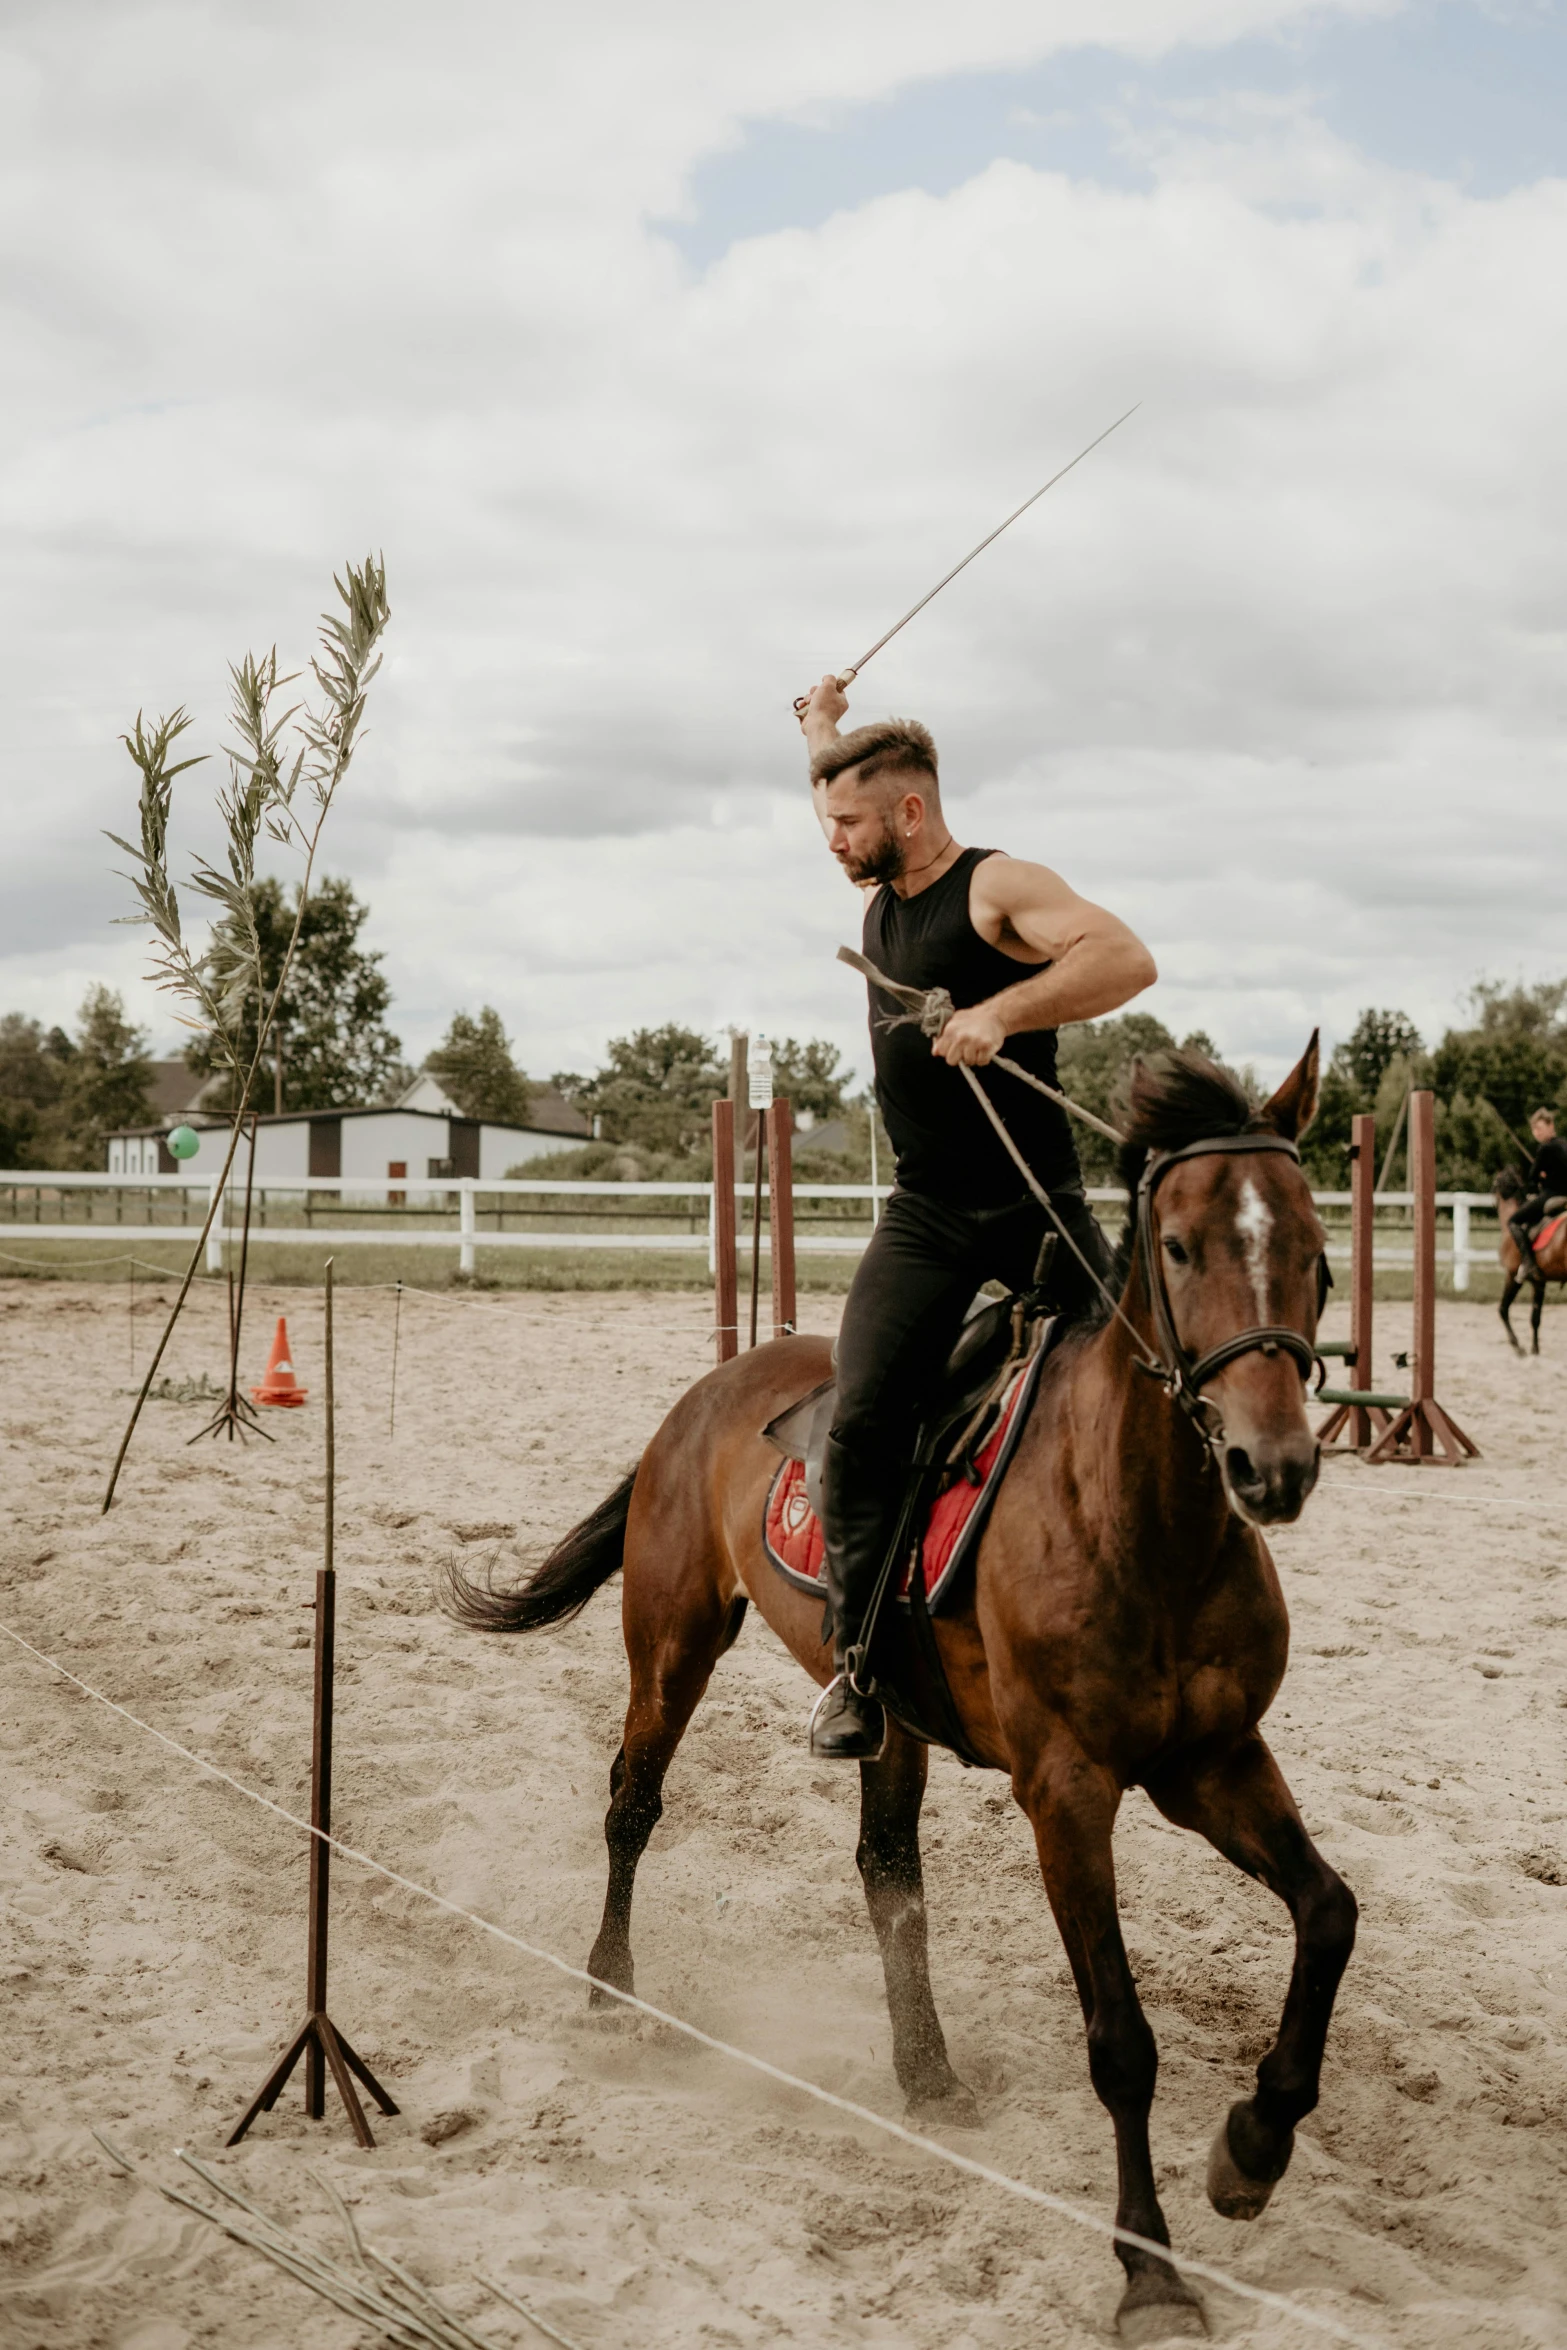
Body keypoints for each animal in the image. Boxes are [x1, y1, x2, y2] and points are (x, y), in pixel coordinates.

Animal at [446, 1052, 1353, 2350]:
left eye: (1319, 1253)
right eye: (1178, 1247)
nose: (1270, 1467)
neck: (1138, 1521)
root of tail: (709, 1388)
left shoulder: (1215, 1761)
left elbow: (1328, 1913)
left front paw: (1253, 2148)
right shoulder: (1066, 1793)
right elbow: (1121, 2039)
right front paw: (1149, 2269)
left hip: (893, 1720)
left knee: (886, 1872)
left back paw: (925, 2072)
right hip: (672, 1641)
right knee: (631, 1805)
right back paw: (612, 1991)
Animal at [1494, 1165, 1567, 1353]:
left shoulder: (1512, 1275)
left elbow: (1503, 1309)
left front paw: (1517, 1345)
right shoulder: (1539, 1282)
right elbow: (1535, 1318)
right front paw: (1535, 1349)